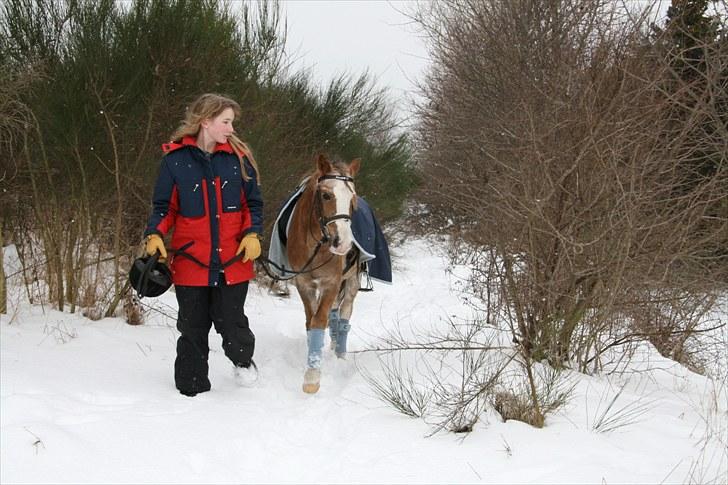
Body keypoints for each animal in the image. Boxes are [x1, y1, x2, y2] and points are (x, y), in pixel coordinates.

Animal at [286, 154, 361, 393]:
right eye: (326, 195)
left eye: (353, 199)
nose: (344, 244)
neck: (316, 245)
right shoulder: (304, 284)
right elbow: (311, 321)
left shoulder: (331, 283)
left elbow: (319, 320)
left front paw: (312, 377)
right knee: (334, 315)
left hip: (352, 282)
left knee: (344, 313)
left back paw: (340, 354)